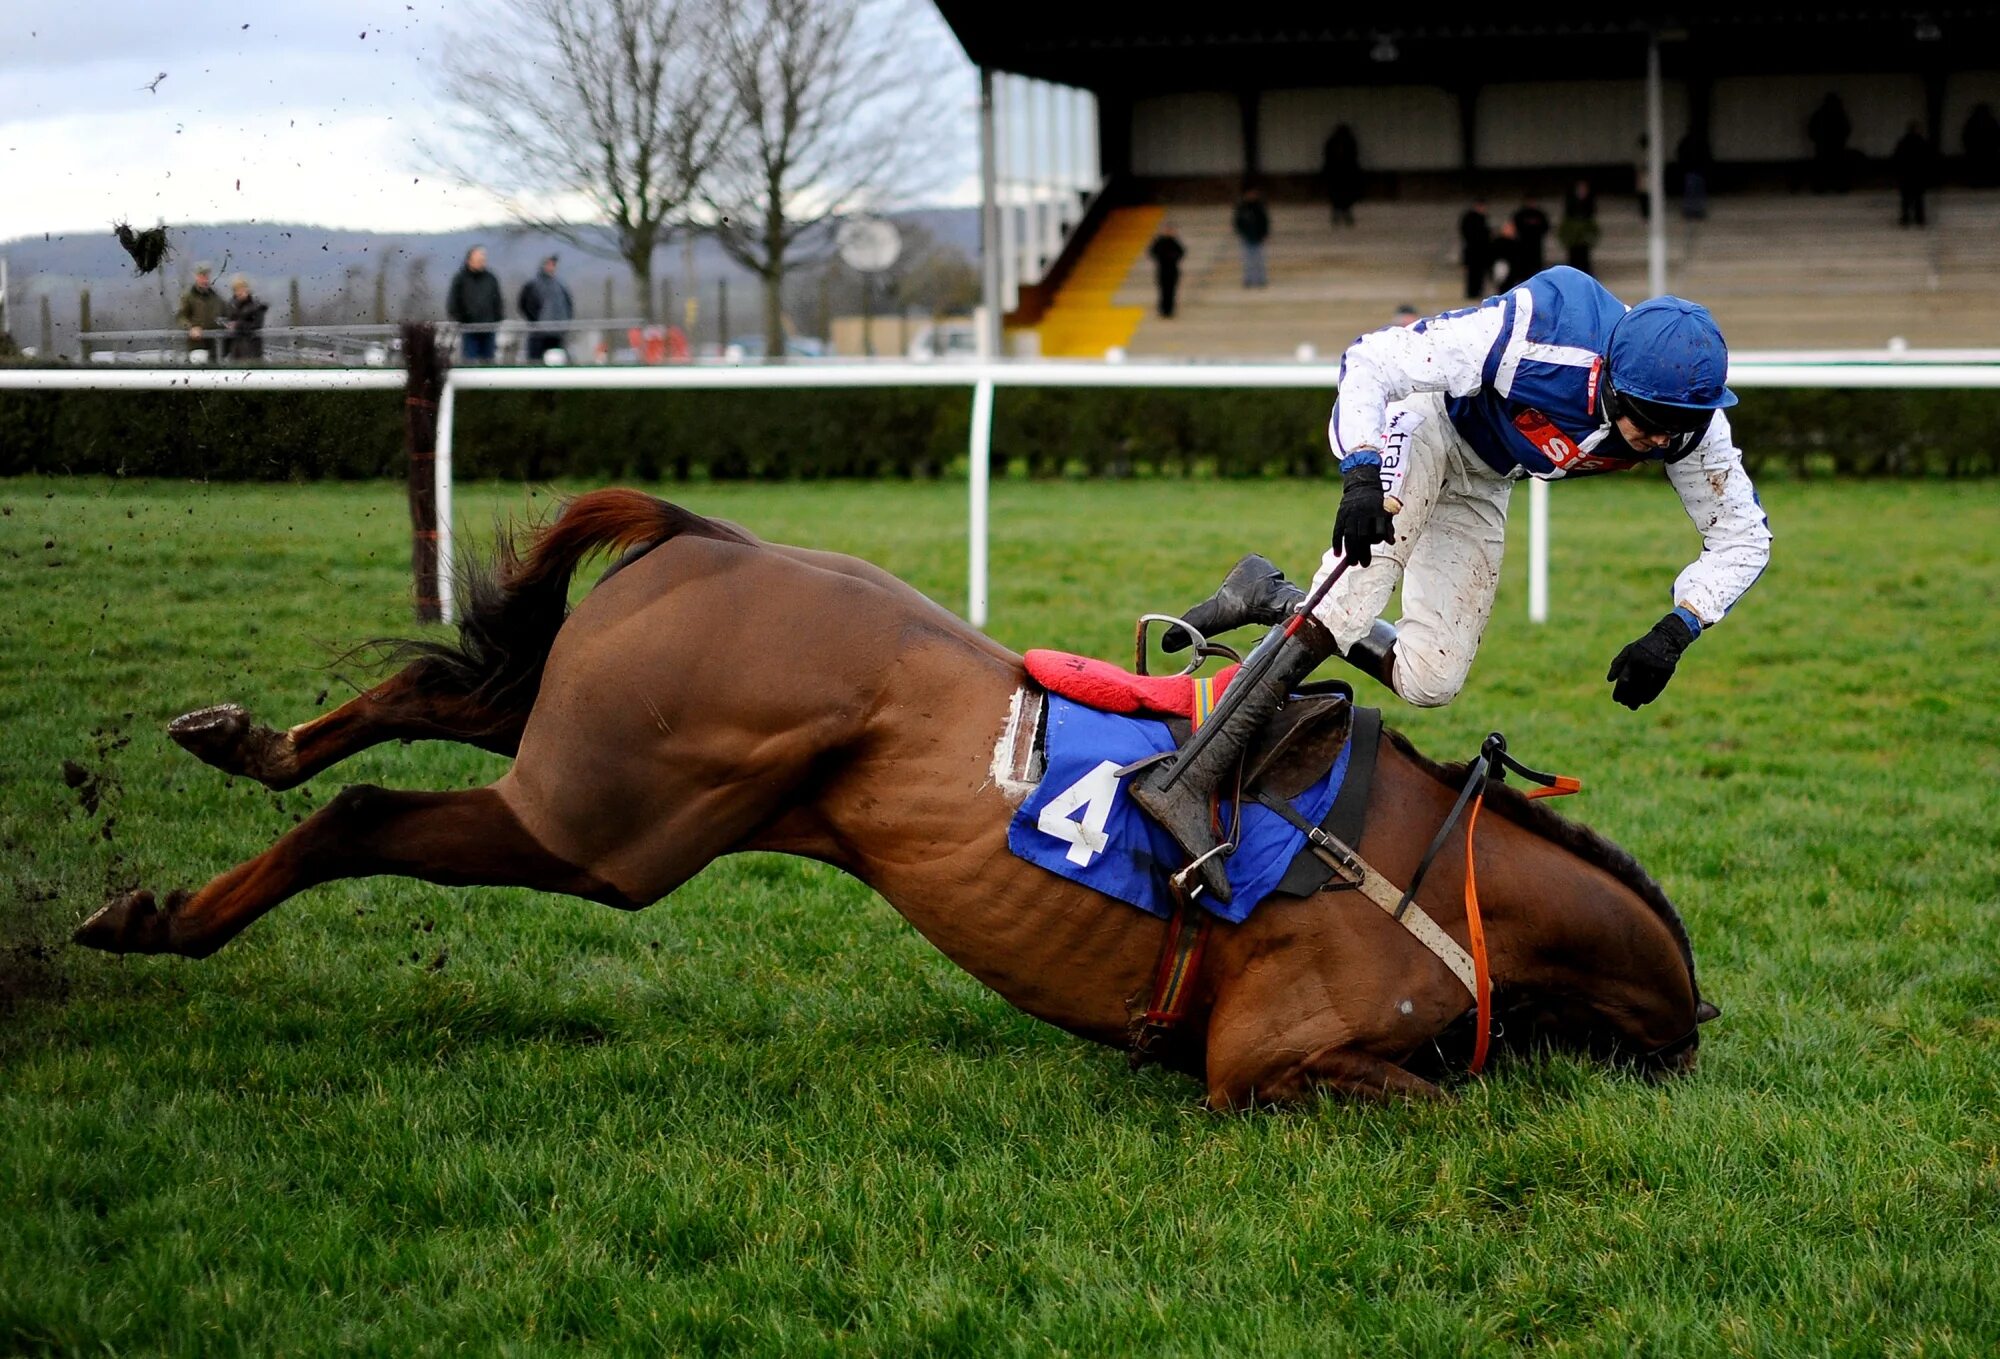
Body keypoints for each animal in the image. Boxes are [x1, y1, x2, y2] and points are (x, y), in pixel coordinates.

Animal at [74, 493, 1704, 1111]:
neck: (1440, 879)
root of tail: (712, 537)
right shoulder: (1262, 1060)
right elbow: (1434, 1102)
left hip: (589, 766)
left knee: (456, 693)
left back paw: (239, 742)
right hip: (608, 828)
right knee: (369, 816)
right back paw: (159, 917)